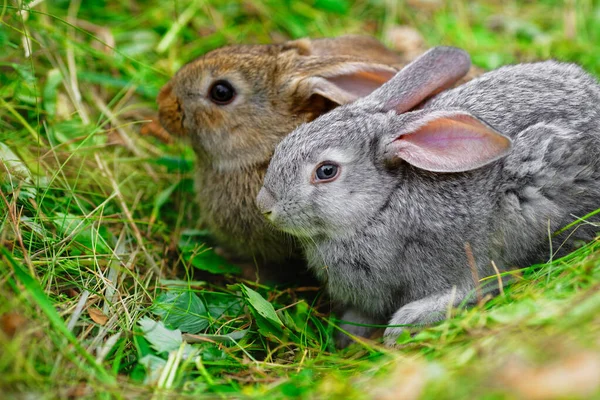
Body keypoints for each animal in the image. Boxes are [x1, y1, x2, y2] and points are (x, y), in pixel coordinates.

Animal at [256, 47, 600, 346]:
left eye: (326, 171)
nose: (265, 206)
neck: (382, 205)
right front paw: (350, 334)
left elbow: (474, 284)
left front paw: (401, 325)